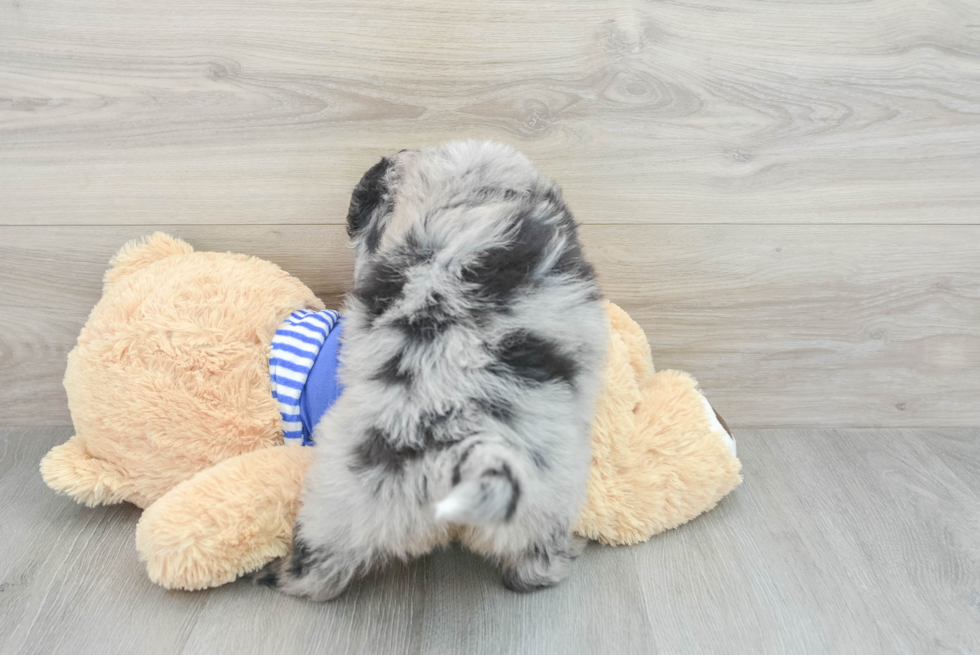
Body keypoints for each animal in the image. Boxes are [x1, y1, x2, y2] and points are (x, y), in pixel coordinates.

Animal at [258, 141, 612, 604]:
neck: (474, 189)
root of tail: (460, 449)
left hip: (336, 505)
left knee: (317, 571)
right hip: (541, 506)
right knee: (535, 566)